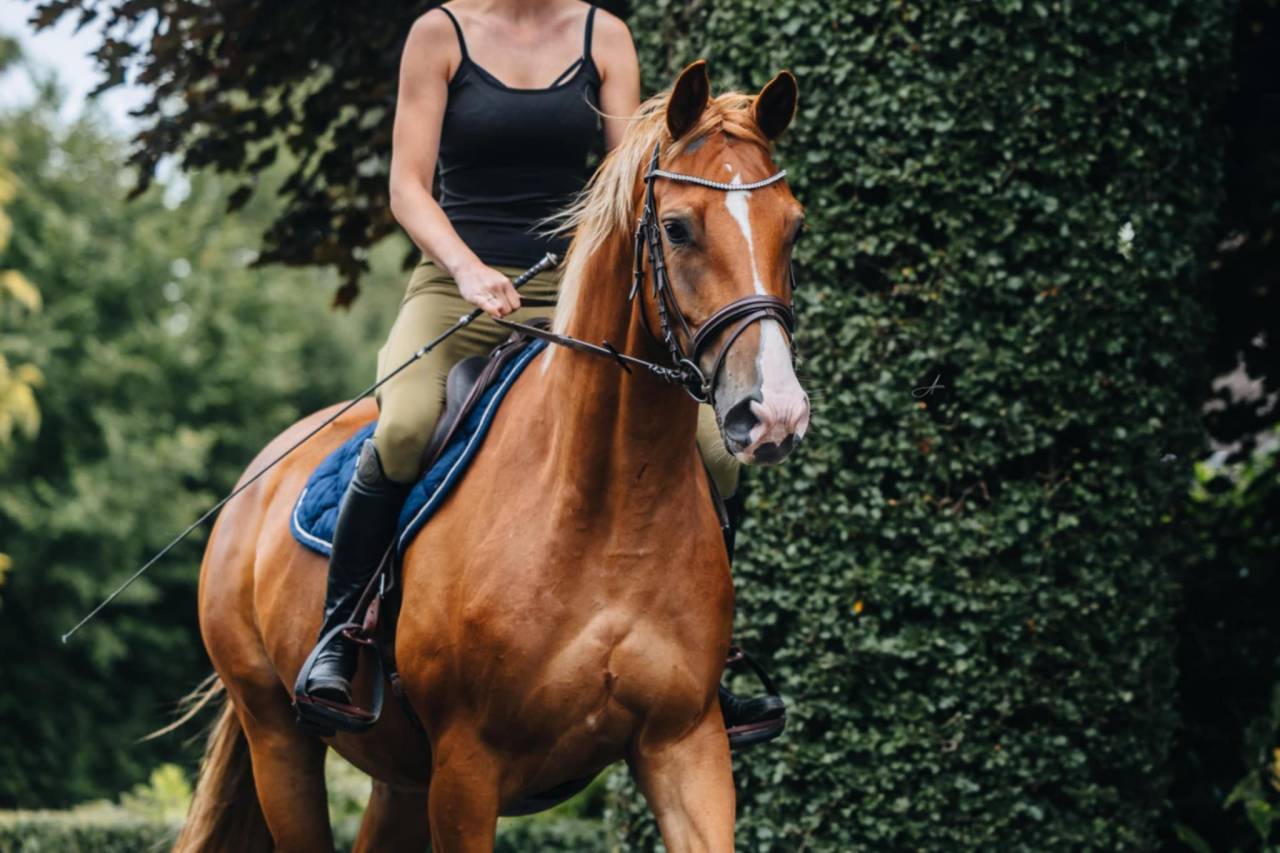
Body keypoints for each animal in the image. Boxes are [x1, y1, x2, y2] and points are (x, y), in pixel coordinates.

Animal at [175, 60, 810, 852]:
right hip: (279, 740)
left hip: (398, 778)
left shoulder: (686, 748)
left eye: (794, 226)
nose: (774, 411)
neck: (606, 508)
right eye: (677, 228)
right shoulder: (467, 771)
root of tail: (254, 487)